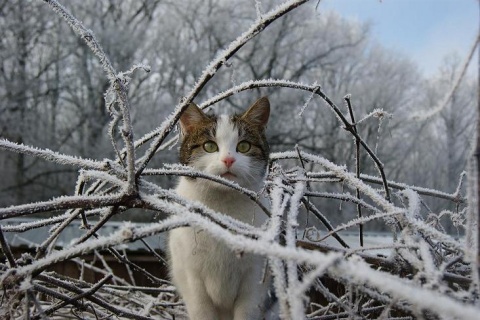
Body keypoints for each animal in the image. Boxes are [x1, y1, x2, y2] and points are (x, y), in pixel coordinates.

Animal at [169, 97, 272, 320]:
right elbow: (201, 310)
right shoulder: (192, 277)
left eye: (244, 146)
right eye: (209, 146)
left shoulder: (255, 278)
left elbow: (247, 311)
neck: (222, 209)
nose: (228, 159)